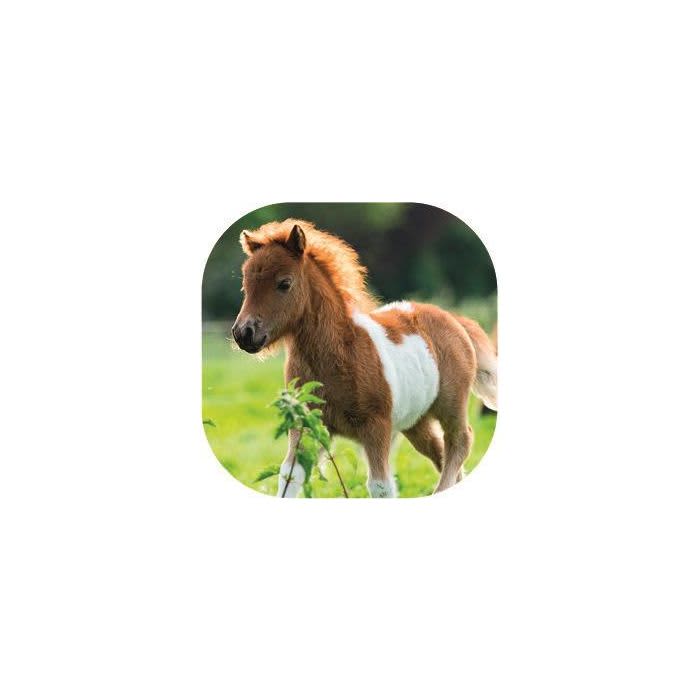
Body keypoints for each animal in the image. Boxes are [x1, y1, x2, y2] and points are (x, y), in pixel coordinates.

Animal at [231, 219, 497, 498]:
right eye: (246, 284)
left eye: (284, 283)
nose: (244, 333)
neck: (340, 354)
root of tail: (453, 319)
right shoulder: (305, 422)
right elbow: (290, 476)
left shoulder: (376, 427)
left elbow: (380, 487)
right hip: (415, 421)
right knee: (442, 454)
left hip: (451, 404)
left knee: (460, 442)